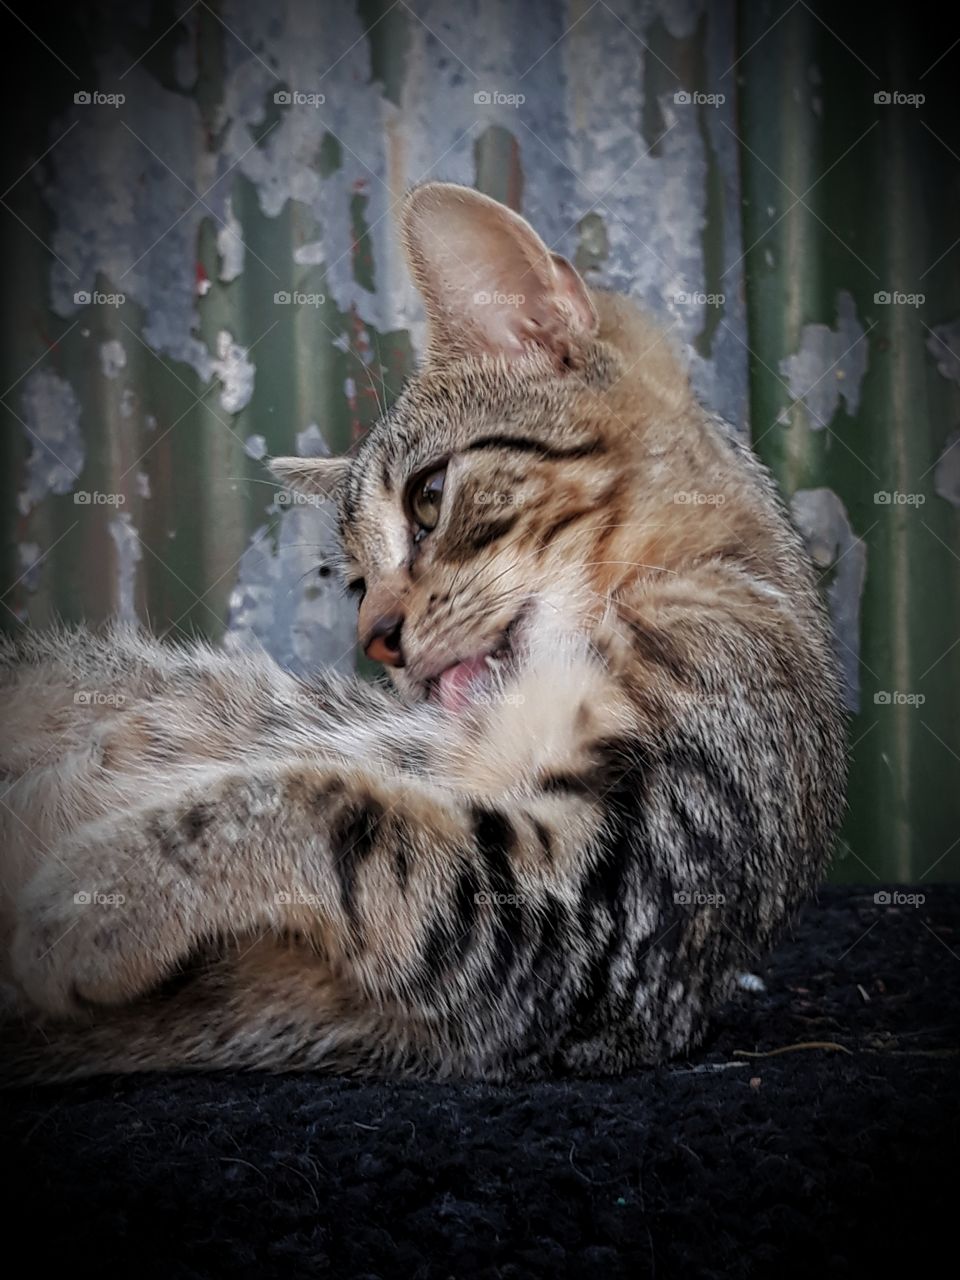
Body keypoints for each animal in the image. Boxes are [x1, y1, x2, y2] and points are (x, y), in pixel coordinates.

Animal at [0, 180, 844, 1080]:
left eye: (428, 498)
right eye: (356, 583)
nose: (376, 636)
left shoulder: (605, 914)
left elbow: (323, 805)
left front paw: (97, 895)